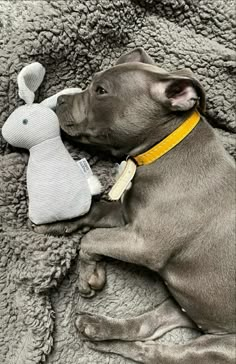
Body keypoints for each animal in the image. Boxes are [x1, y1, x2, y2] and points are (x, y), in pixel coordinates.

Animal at [34, 49, 235, 364]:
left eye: (101, 91)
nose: (60, 100)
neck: (163, 150)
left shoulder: (145, 243)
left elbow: (91, 239)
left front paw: (89, 277)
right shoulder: (126, 216)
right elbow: (93, 213)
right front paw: (58, 223)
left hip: (217, 346)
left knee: (155, 353)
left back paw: (100, 340)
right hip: (185, 303)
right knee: (146, 327)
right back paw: (96, 327)